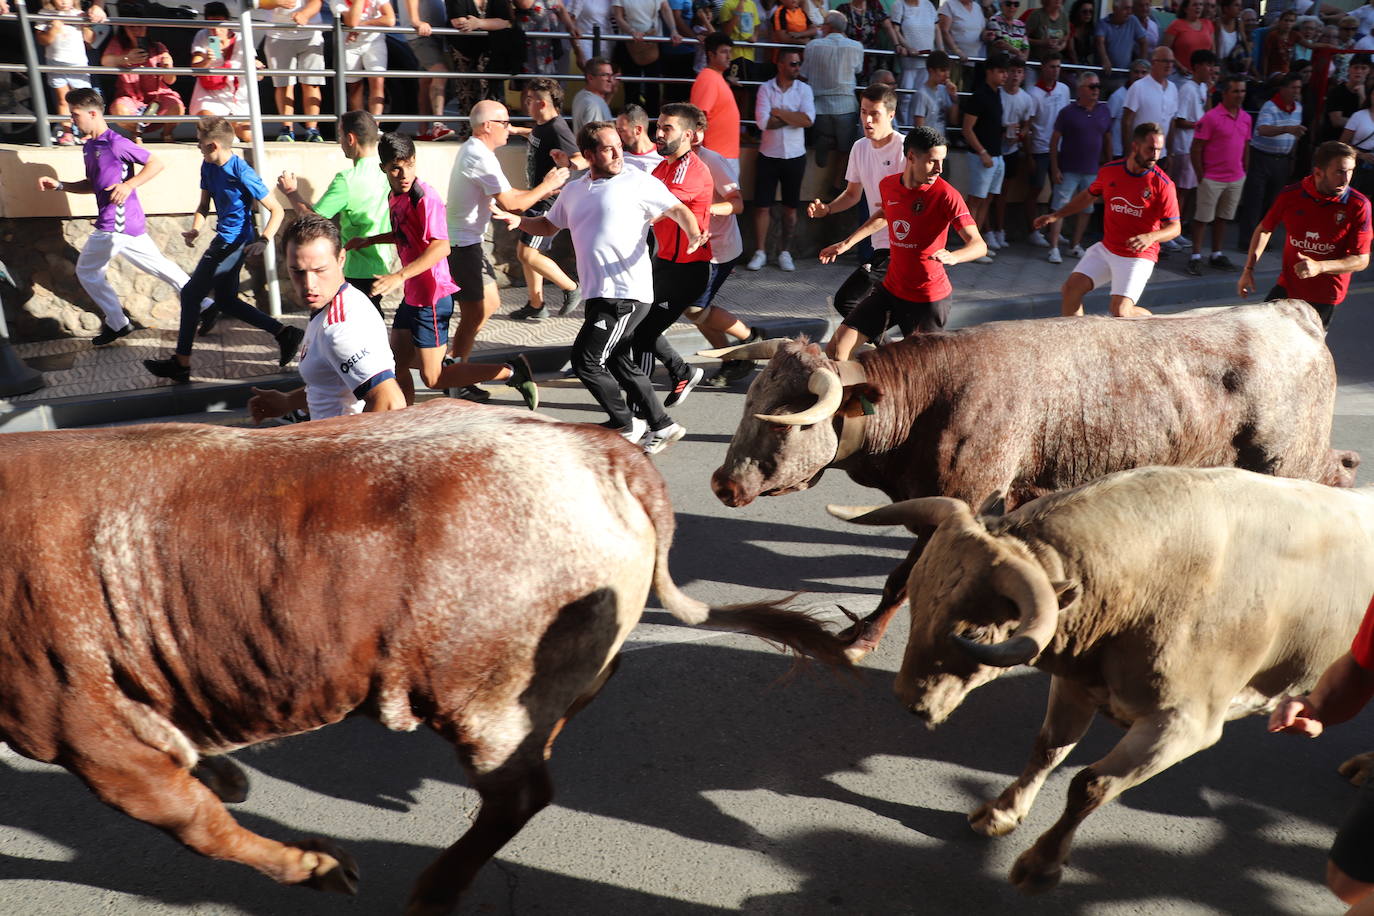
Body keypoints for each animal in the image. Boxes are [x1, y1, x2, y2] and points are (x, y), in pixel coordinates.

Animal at [0, 401, 851, 916]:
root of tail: (593, 444)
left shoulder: (89, 735)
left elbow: (197, 825)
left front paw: (313, 865)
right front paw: (226, 769)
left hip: (484, 700)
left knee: (519, 794)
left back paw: (434, 891)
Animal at [714, 304, 1357, 661]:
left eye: (792, 417)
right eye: (750, 401)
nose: (724, 483)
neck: (929, 399)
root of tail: (1290, 313)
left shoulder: (961, 500)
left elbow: (901, 579)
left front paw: (863, 636)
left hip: (1288, 458)